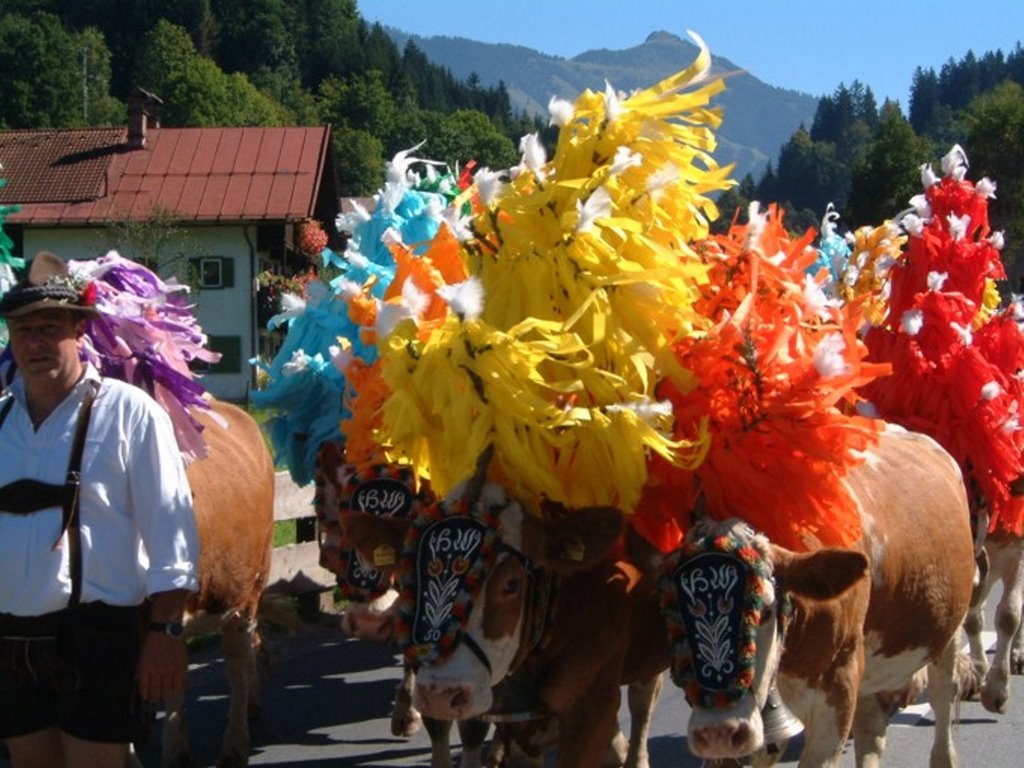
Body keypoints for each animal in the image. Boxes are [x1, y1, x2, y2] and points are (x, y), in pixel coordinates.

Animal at [659, 428, 970, 768]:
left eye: (765, 611)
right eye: (672, 617)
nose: (718, 732)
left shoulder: (838, 686)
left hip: (949, 632)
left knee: (943, 697)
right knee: (871, 732)